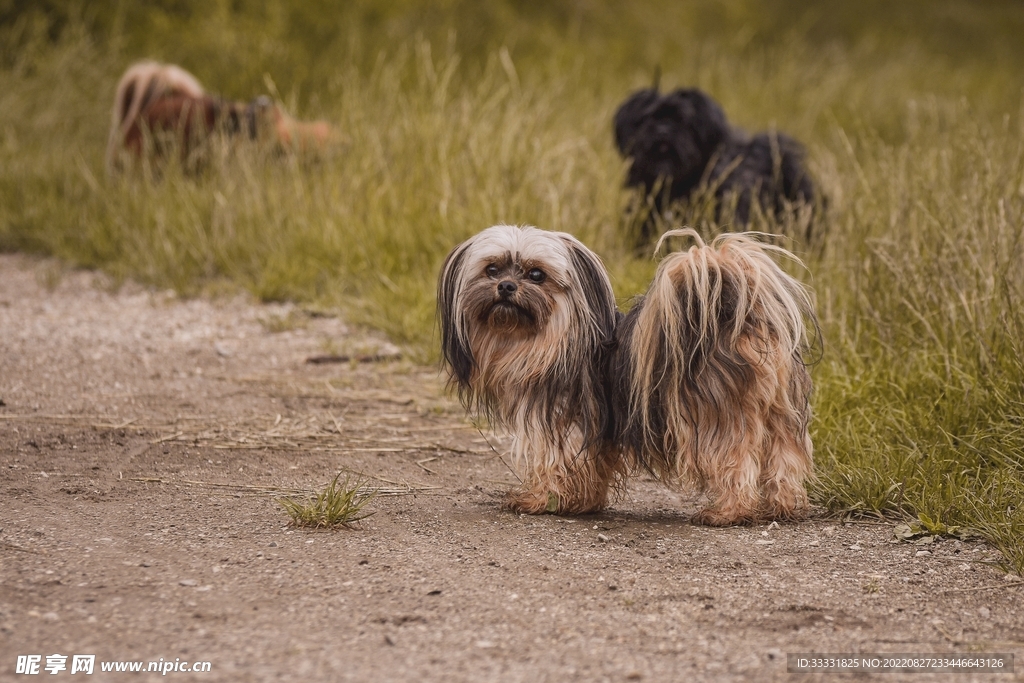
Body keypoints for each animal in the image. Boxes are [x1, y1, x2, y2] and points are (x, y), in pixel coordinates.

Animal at [440, 224, 815, 524]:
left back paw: (727, 512)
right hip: (780, 414)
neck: (551, 338)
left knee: (735, 462)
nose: (505, 286)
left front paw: (537, 501)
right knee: (785, 459)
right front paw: (583, 503)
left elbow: (552, 464)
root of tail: (732, 316)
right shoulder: (598, 430)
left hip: (717, 416)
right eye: (491, 269)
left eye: (536, 275)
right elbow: (593, 467)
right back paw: (783, 507)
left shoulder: (557, 423)